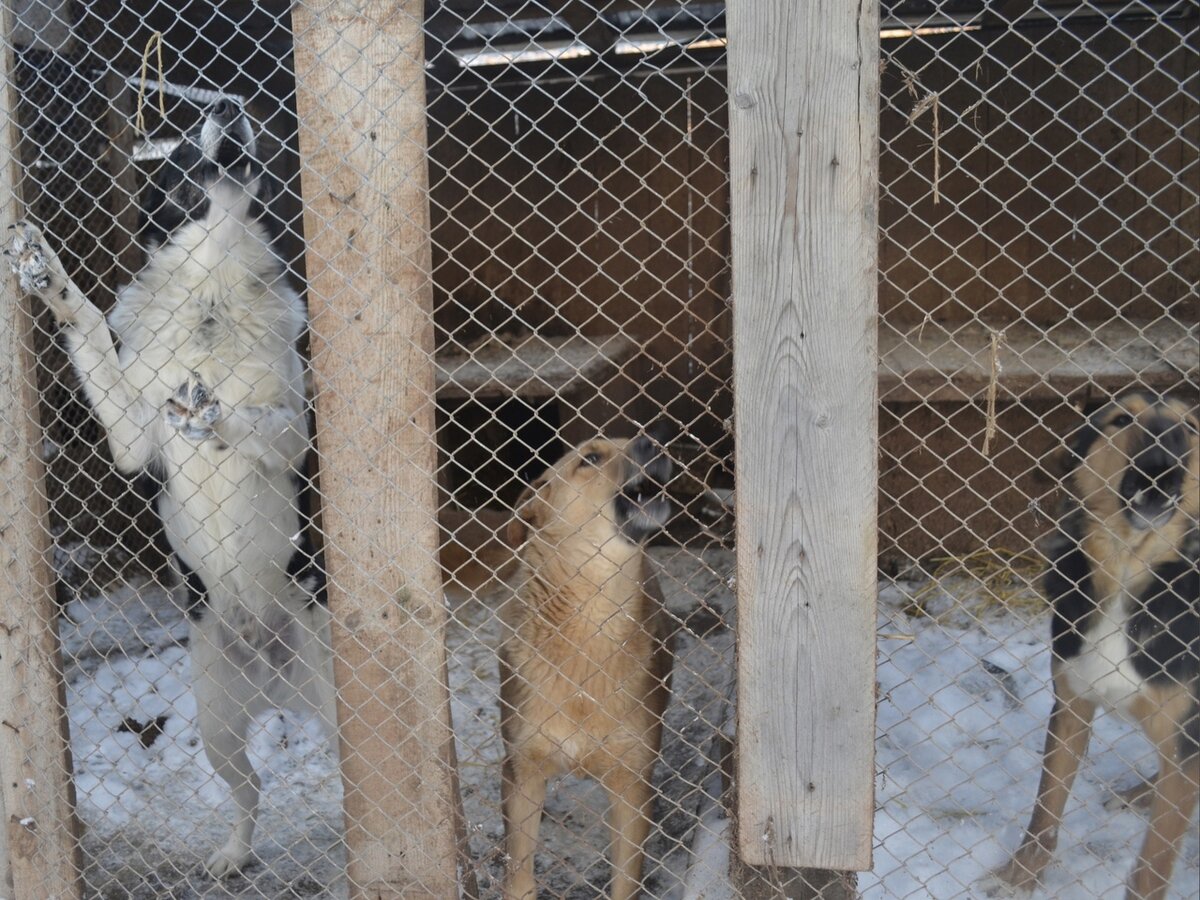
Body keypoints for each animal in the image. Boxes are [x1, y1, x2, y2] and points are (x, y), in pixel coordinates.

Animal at [8, 100, 338, 883]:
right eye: (183, 142)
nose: (228, 103)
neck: (212, 284)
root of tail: (271, 669)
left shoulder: (293, 434)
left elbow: (261, 419)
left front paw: (217, 416)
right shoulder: (133, 436)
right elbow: (91, 329)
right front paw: (50, 278)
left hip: (337, 698)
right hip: (217, 725)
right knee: (251, 789)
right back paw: (233, 854)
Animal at [496, 436, 676, 900]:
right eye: (591, 459)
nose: (654, 440)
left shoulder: (633, 786)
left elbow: (625, 881)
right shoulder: (521, 771)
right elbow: (518, 875)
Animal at [998, 393, 1200, 900]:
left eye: (1190, 428)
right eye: (1122, 420)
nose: (1165, 450)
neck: (1129, 564)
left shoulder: (1187, 735)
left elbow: (1153, 864)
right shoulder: (1071, 702)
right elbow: (1046, 810)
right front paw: (1019, 878)